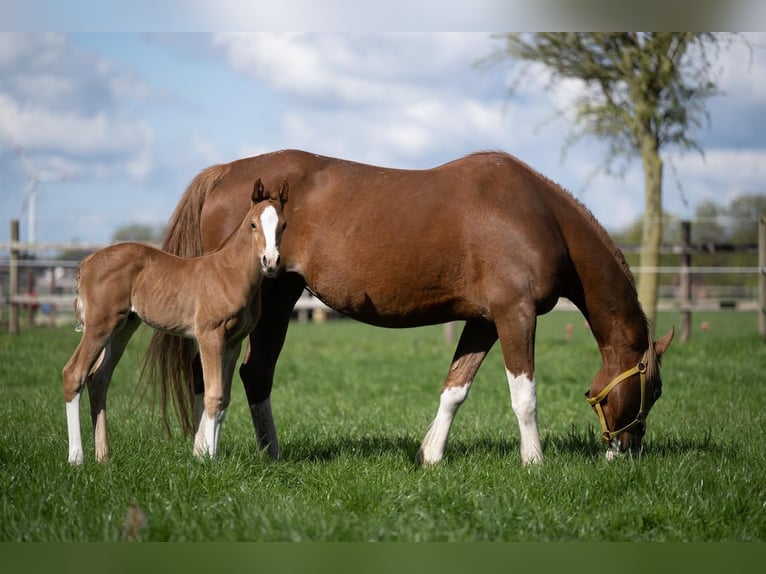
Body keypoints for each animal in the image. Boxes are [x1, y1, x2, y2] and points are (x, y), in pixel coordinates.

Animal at [61, 178, 290, 466]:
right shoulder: (210, 335)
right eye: (252, 224)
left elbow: (224, 400)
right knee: (74, 374)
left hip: (123, 326)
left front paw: (208, 454)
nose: (270, 261)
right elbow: (214, 396)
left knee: (98, 379)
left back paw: (103, 457)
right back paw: (76, 458)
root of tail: (86, 263)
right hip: (99, 325)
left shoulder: (233, 343)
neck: (230, 272)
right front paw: (210, 460)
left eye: (284, 225)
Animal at [147, 151, 676, 466]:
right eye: (653, 390)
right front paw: (535, 462)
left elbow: (455, 389)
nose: (627, 451)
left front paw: (431, 456)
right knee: (221, 373)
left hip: (275, 299)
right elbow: (524, 395)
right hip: (258, 304)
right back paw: (207, 451)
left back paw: (264, 454)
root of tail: (224, 173)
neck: (539, 215)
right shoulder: (515, 314)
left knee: (248, 374)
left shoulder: (483, 321)